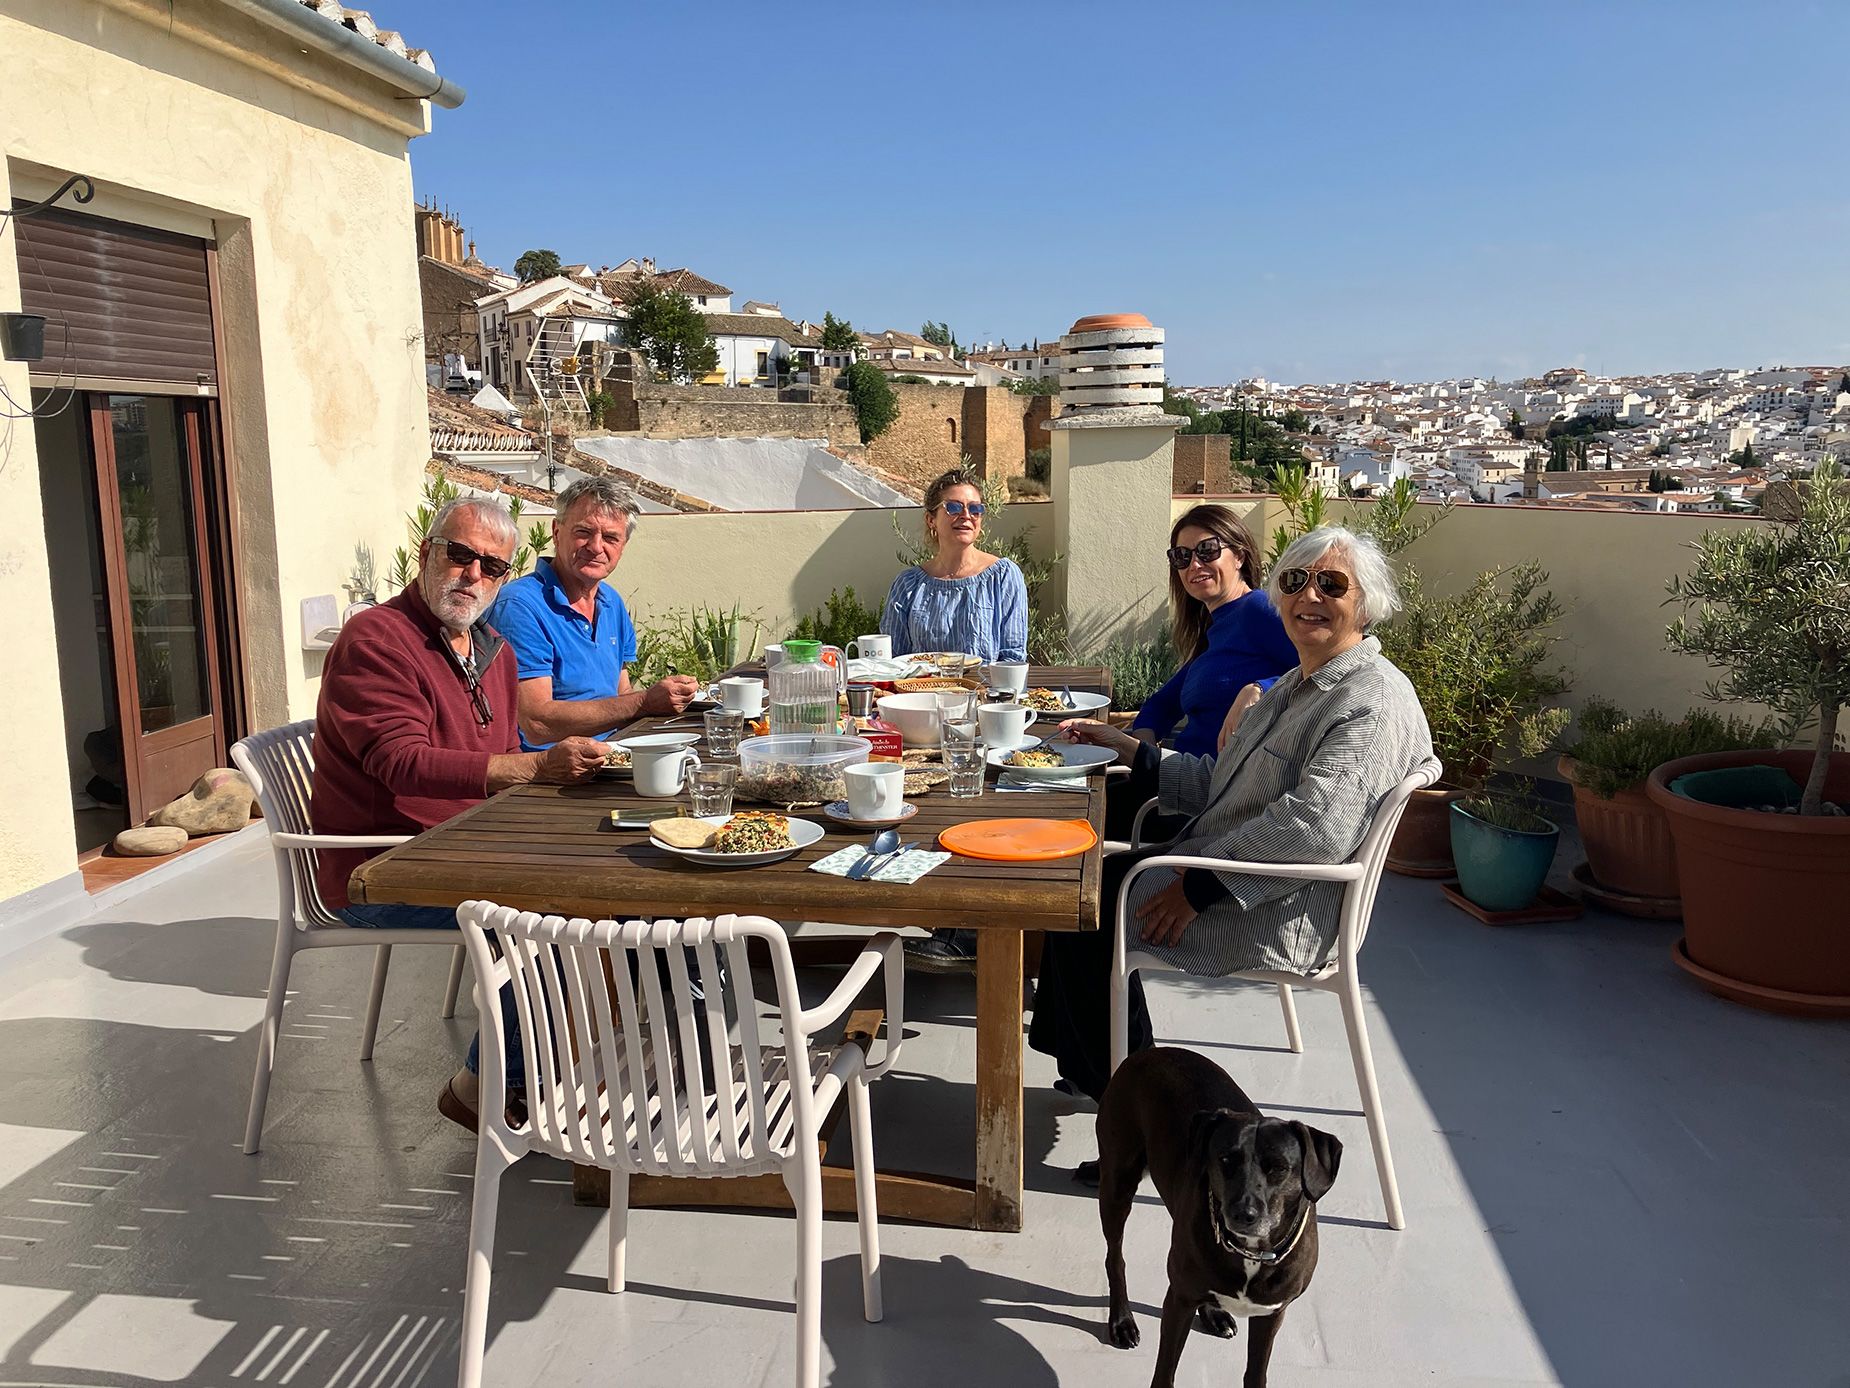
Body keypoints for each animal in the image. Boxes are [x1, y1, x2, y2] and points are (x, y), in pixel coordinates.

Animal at [1095, 1051, 1346, 1384]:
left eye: (1279, 1168)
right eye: (1225, 1159)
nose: (1242, 1214)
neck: (1250, 1253)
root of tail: (1146, 1053)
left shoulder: (1271, 1314)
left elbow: (1256, 1372)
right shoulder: (1179, 1299)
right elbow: (1165, 1370)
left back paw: (1214, 1314)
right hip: (1117, 1183)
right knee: (1115, 1256)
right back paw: (1122, 1320)